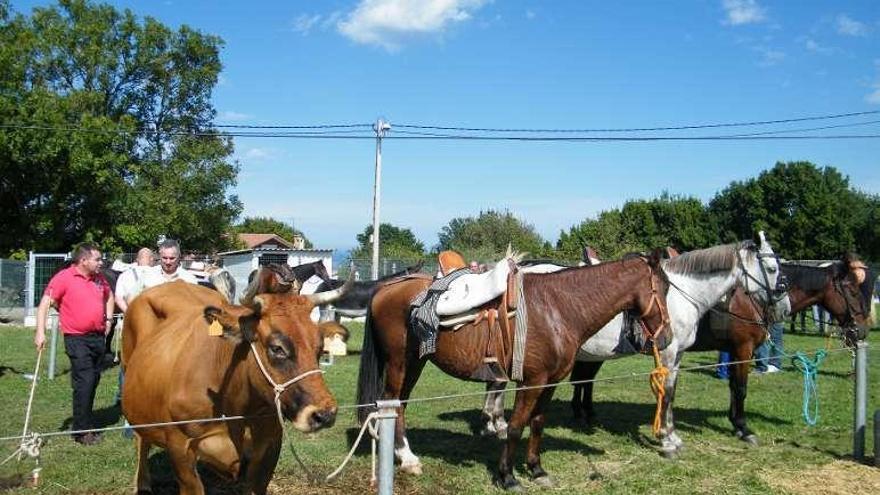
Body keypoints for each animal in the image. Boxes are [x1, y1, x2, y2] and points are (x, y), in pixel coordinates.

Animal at [122, 280, 352, 495]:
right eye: (277, 348)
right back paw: (142, 483)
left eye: (320, 348)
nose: (325, 414)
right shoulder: (180, 448)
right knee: (140, 440)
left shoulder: (270, 445)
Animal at [354, 252, 672, 492]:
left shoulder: (551, 382)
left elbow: (538, 423)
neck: (558, 308)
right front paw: (507, 476)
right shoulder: (531, 382)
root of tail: (387, 288)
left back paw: (403, 456)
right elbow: (517, 426)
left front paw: (537, 469)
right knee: (392, 403)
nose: (666, 338)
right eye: (662, 288)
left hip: (415, 364)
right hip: (399, 363)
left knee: (400, 405)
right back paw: (407, 459)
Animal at [482, 236, 776, 458]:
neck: (683, 294)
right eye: (773, 268)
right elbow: (667, 395)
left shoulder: (677, 355)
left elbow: (671, 394)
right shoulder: (671, 353)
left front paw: (673, 436)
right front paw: (667, 441)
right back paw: (496, 423)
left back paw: (495, 422)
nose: (778, 298)